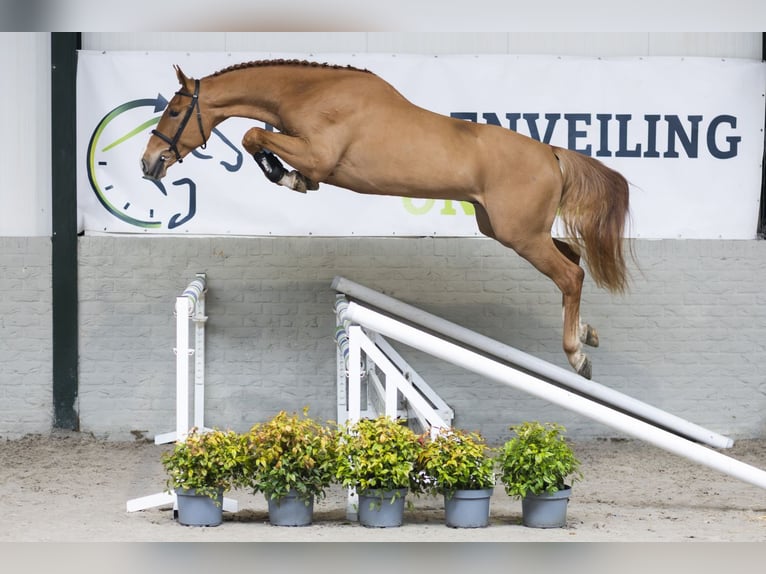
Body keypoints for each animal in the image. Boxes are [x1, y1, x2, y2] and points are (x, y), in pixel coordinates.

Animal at [141, 59, 631, 379]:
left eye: (173, 111)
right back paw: (587, 333)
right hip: (506, 229)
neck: (310, 94)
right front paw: (291, 179)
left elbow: (252, 134)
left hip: (521, 235)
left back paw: (577, 356)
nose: (149, 164)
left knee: (570, 274)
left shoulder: (319, 155)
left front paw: (287, 177)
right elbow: (257, 137)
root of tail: (552, 153)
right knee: (575, 258)